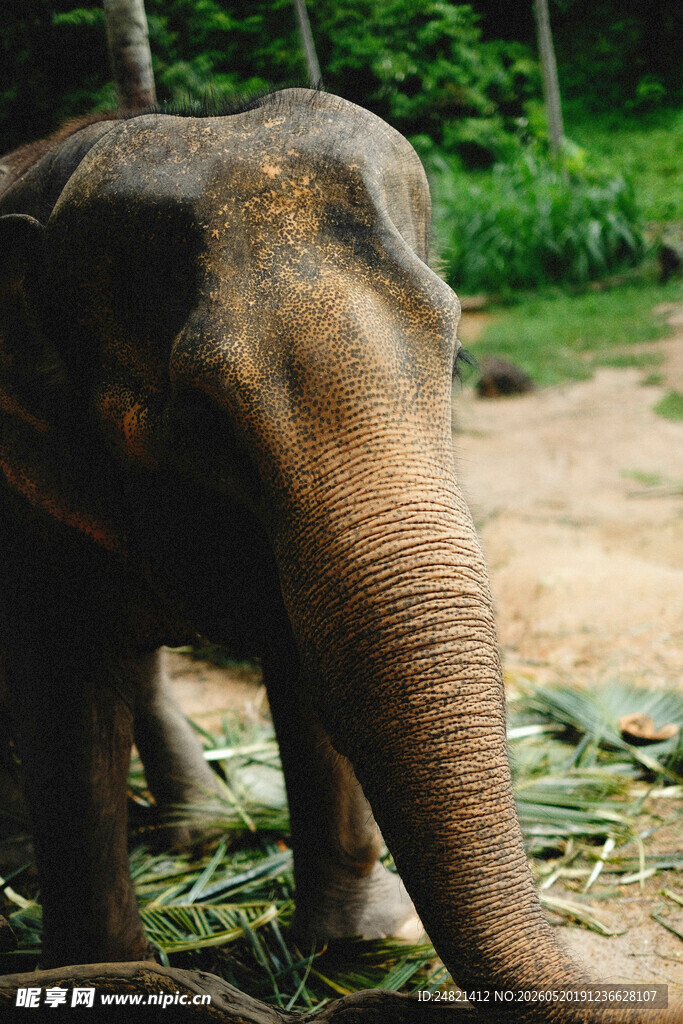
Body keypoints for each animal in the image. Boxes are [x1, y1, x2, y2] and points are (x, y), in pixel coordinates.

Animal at [0, 89, 676, 1022]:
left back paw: (199, 829)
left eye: (455, 358)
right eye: (202, 417)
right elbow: (64, 696)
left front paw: (357, 940)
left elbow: (308, 655)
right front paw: (107, 977)